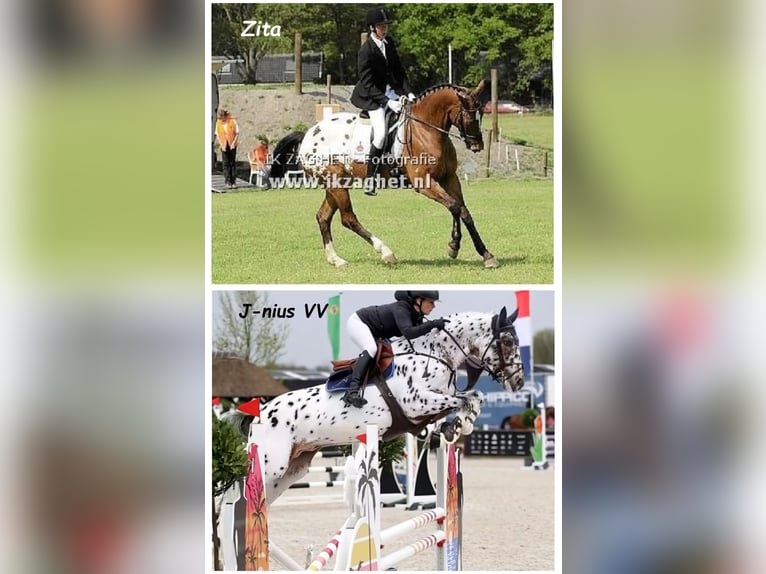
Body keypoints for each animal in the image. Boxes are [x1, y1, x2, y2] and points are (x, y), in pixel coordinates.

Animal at [226, 308, 528, 506]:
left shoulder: (433, 403)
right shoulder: (417, 402)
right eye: (507, 341)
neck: (435, 353)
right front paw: (463, 423)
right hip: (271, 464)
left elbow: (468, 399)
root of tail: (259, 414)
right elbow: (466, 398)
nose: (519, 382)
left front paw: (456, 426)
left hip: (292, 469)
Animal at [270, 80, 498, 268]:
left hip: (337, 182)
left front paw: (483, 254)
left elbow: (462, 210)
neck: (426, 130)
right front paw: (455, 246)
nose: (477, 145)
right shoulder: (424, 183)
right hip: (335, 182)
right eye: (469, 115)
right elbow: (454, 207)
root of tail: (308, 134)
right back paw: (386, 253)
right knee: (348, 219)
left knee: (323, 217)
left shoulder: (449, 178)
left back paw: (336, 259)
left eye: (482, 115)